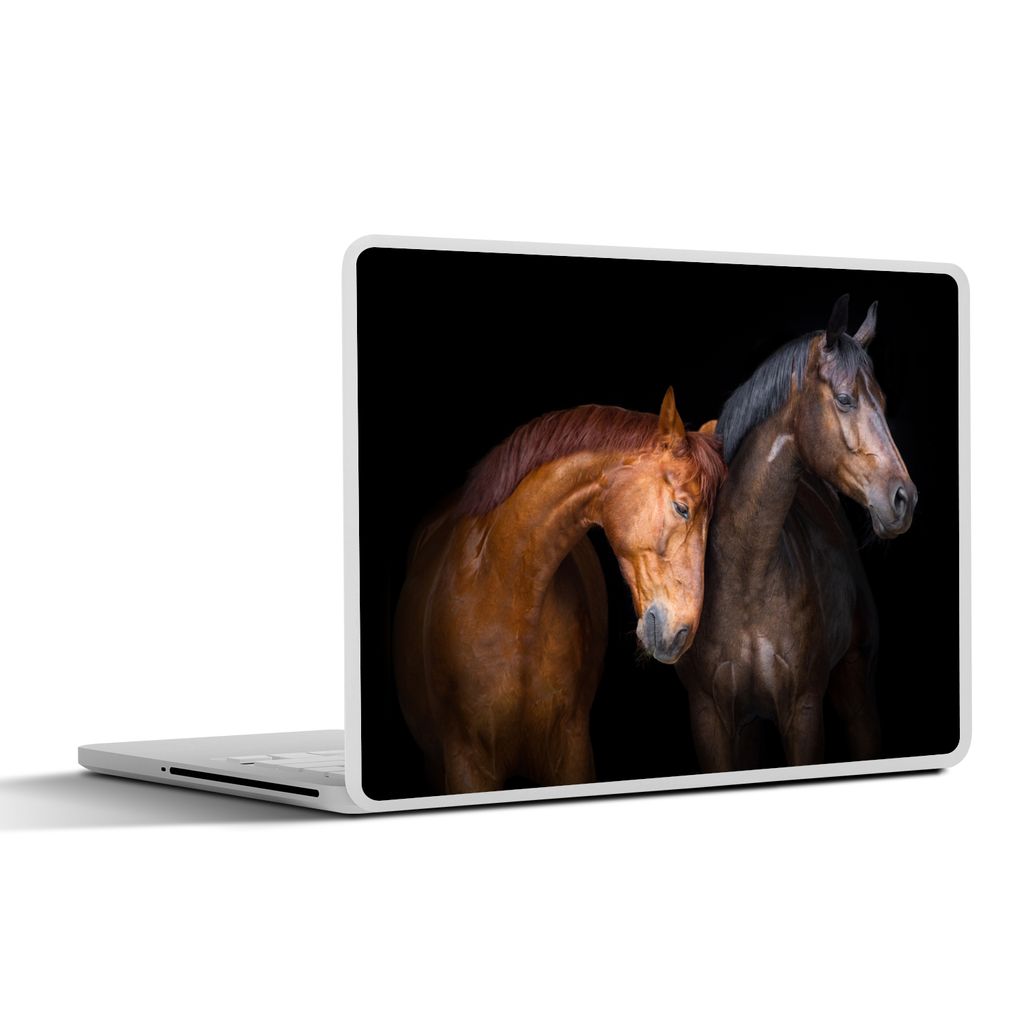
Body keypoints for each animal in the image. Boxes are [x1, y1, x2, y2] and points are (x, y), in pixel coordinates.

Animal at [676, 295, 917, 770]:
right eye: (844, 399)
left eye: (882, 401)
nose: (904, 499)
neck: (746, 575)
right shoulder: (710, 717)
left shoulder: (803, 712)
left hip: (856, 693)